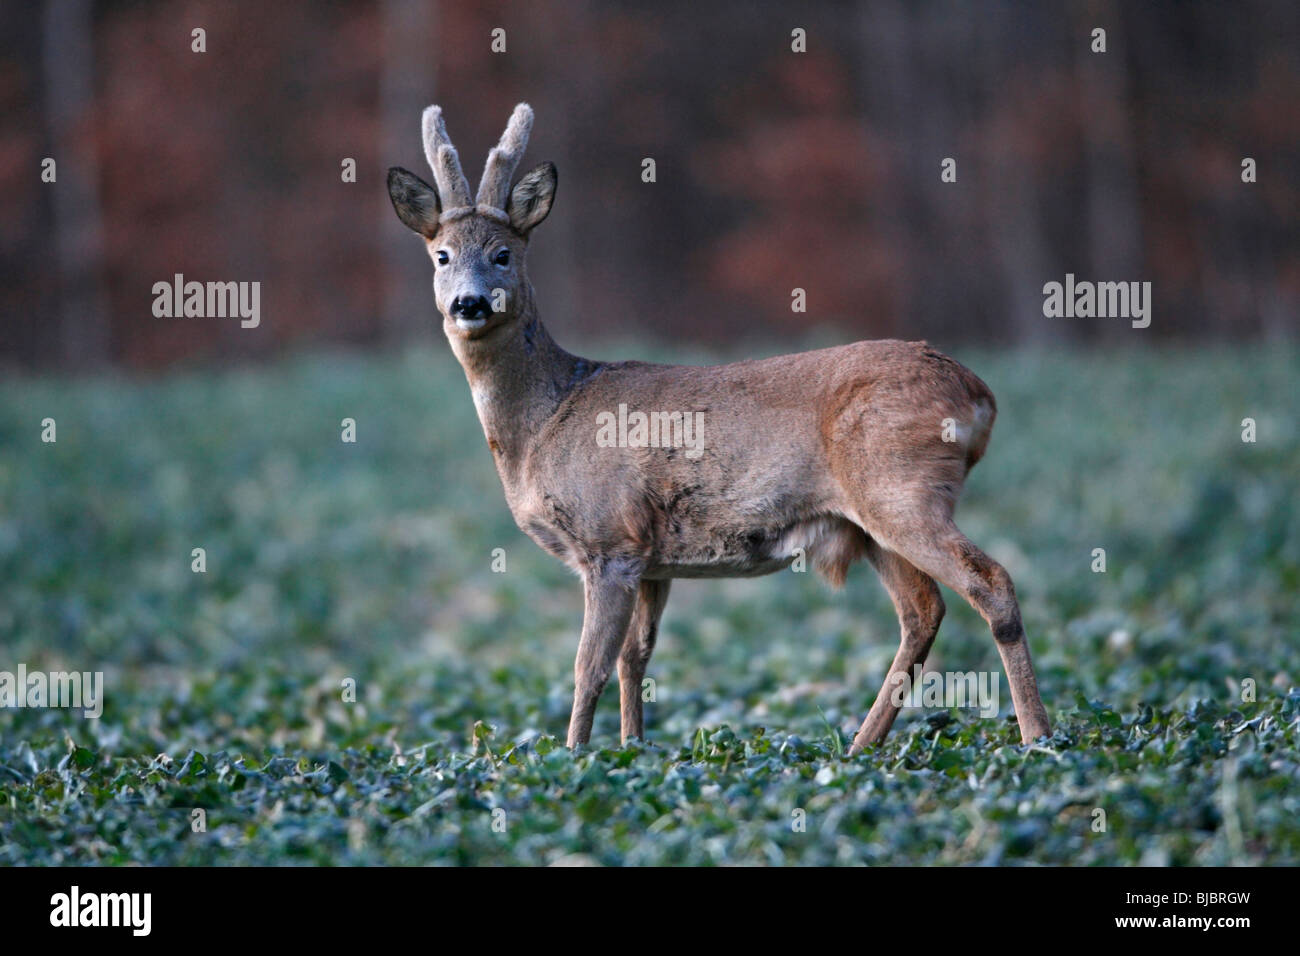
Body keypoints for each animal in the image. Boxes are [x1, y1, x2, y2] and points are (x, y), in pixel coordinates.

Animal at [386, 103, 1052, 756]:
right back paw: (861, 748)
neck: (542, 425)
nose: (470, 304)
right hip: (868, 522)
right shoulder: (651, 558)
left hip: (901, 488)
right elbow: (635, 660)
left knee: (990, 581)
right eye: (442, 255)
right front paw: (632, 751)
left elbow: (587, 667)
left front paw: (574, 759)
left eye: (503, 254)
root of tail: (977, 391)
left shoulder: (609, 540)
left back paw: (1038, 738)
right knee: (922, 610)